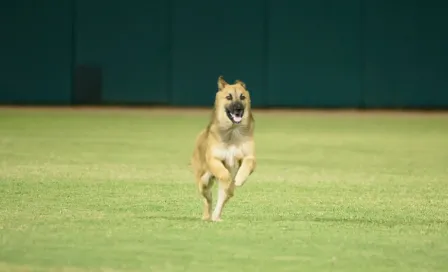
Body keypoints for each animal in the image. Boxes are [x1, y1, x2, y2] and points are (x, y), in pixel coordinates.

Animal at [191, 75, 258, 222]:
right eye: (228, 97)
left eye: (242, 97)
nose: (238, 109)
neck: (232, 132)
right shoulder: (214, 159)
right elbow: (224, 173)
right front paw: (228, 179)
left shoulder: (249, 157)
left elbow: (247, 165)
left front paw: (239, 179)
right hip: (203, 182)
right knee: (208, 198)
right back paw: (207, 215)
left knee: (221, 199)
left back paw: (216, 216)